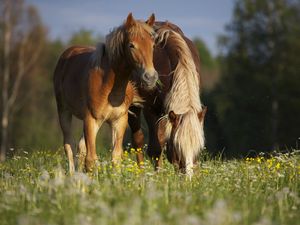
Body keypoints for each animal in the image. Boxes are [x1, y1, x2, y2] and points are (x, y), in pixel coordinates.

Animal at [53, 13, 159, 173]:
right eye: (131, 45)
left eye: (153, 45)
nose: (150, 77)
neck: (110, 86)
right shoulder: (91, 119)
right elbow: (91, 159)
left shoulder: (119, 121)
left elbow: (115, 157)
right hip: (64, 111)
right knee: (69, 145)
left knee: (80, 147)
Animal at [127, 21, 207, 177]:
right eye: (177, 147)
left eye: (199, 149)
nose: (188, 178)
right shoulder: (151, 110)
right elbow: (155, 149)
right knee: (138, 141)